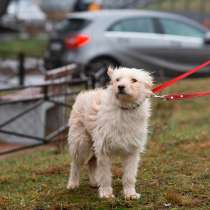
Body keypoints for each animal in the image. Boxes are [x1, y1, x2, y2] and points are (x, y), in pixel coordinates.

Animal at [67, 67, 153, 199]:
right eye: (117, 79)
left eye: (134, 80)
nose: (120, 87)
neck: (124, 109)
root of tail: (86, 93)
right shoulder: (103, 150)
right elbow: (105, 175)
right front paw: (106, 194)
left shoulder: (132, 151)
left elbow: (129, 176)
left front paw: (130, 193)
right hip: (81, 143)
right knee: (75, 163)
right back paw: (73, 183)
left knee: (91, 162)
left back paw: (94, 182)